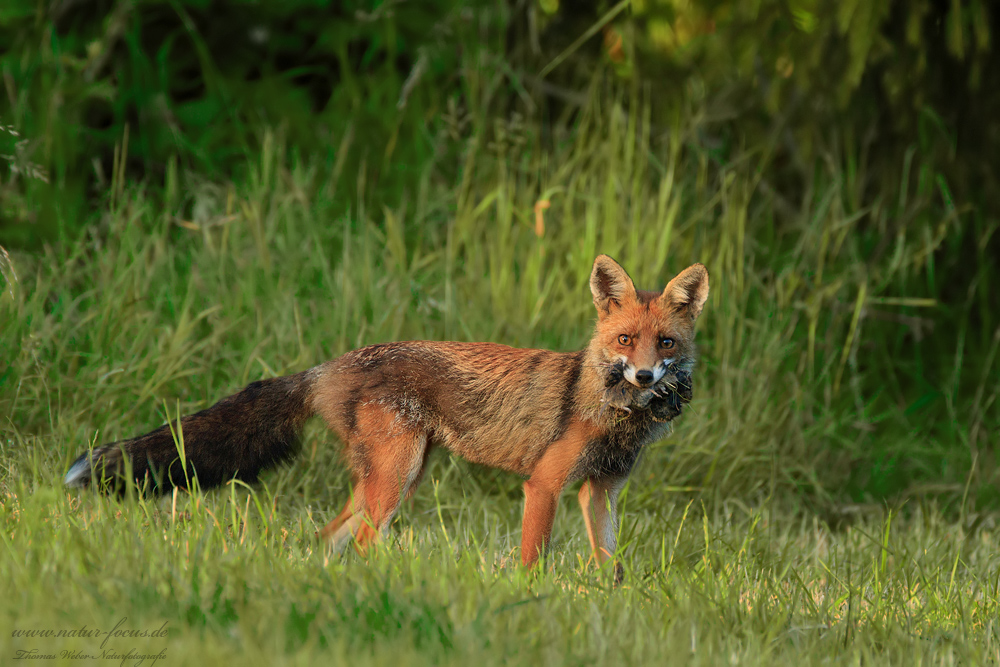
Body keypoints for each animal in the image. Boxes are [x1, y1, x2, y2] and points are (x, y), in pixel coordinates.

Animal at [66, 256, 708, 580]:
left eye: (666, 344)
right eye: (624, 340)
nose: (644, 378)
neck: (612, 413)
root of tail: (329, 365)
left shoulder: (600, 492)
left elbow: (611, 569)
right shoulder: (545, 485)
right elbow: (533, 562)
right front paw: (529, 604)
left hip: (395, 479)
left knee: (325, 540)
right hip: (396, 480)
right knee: (360, 544)